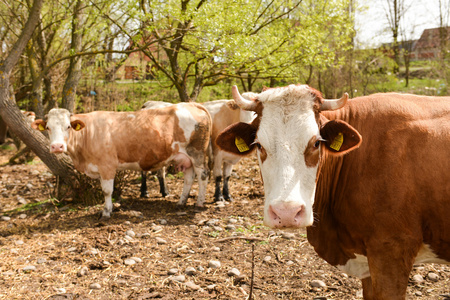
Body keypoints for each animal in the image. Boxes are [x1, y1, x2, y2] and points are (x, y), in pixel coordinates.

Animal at [32, 103, 212, 218]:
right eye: (48, 127)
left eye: (68, 126)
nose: (57, 146)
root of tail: (192, 104)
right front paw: (108, 209)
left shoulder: (107, 166)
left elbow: (107, 191)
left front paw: (106, 212)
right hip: (185, 157)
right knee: (189, 178)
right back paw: (181, 202)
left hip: (197, 153)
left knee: (203, 175)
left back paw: (199, 203)